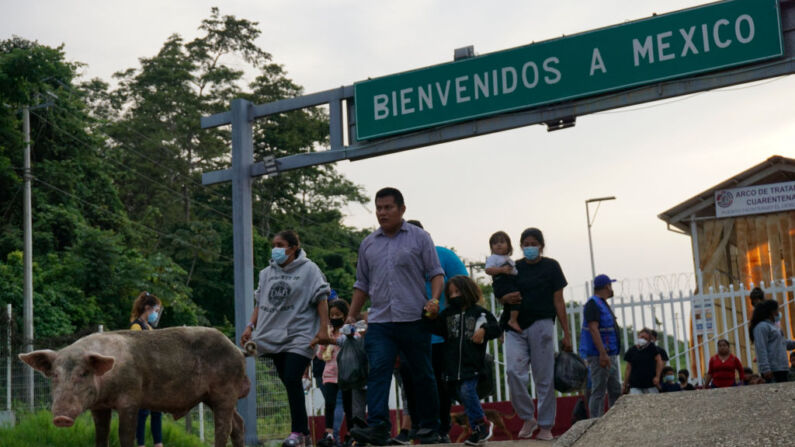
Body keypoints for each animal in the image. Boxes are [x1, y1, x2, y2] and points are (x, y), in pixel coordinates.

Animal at [18, 326, 250, 447]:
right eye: (55, 375)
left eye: (83, 373)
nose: (61, 417)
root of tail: (238, 350)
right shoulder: (99, 406)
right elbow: (101, 435)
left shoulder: (130, 398)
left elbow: (125, 435)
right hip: (212, 397)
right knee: (238, 424)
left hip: (225, 390)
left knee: (224, 427)